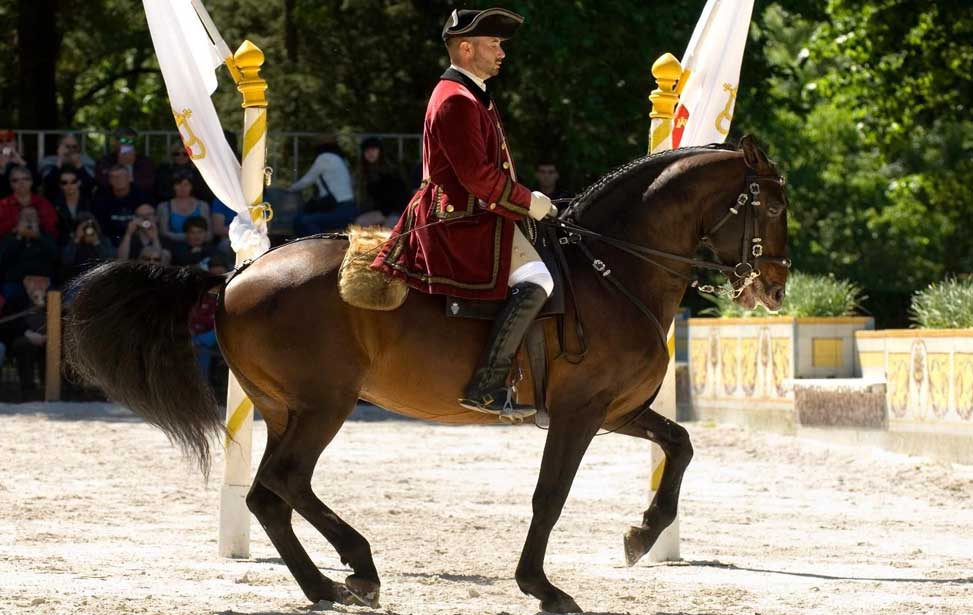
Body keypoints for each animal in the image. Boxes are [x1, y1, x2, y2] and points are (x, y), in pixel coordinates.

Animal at [62, 137, 788, 612]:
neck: (614, 267)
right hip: (323, 405)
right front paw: (542, 586)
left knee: (271, 494)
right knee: (284, 483)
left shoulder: (618, 410)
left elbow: (680, 444)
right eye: (773, 208)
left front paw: (641, 534)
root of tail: (237, 274)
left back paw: (331, 582)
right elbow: (549, 495)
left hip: (284, 408)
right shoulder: (579, 414)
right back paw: (353, 567)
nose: (775, 287)